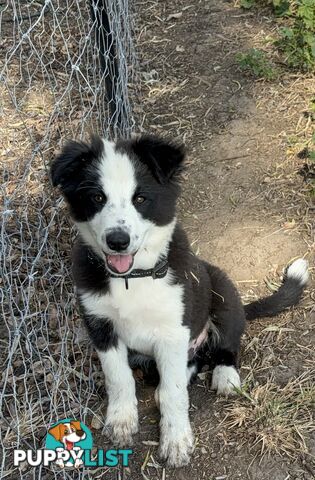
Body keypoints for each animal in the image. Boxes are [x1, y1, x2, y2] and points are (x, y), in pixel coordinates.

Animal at [50, 134, 310, 464]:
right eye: (97, 198)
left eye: (140, 199)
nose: (117, 241)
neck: (133, 278)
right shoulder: (100, 326)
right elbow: (118, 376)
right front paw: (121, 421)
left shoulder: (173, 331)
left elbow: (175, 392)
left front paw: (176, 441)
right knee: (189, 364)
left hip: (222, 293)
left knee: (225, 345)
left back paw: (225, 375)